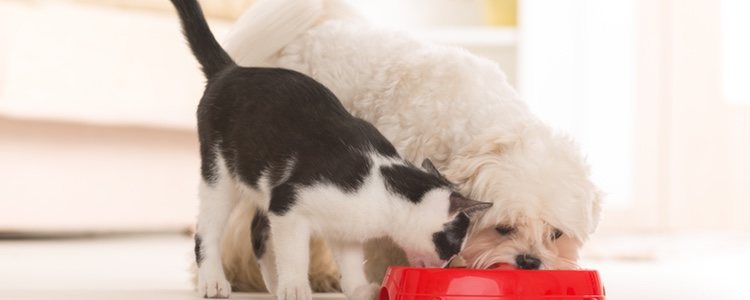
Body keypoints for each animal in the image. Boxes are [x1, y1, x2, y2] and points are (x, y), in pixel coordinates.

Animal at [170, 1, 494, 298]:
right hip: (220, 175)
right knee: (207, 230)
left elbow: (349, 260)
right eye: (454, 245)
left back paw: (273, 284)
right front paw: (296, 286)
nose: (452, 264)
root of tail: (231, 69)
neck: (381, 186)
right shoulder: (288, 205)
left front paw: (358, 288)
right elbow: (294, 252)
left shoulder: (344, 229)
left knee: (257, 232)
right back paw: (215, 282)